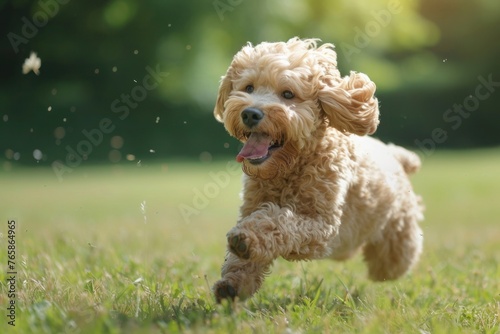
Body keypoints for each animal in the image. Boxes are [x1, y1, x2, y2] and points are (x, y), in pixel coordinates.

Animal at [210, 37, 422, 302]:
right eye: (249, 88)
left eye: (288, 94)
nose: (250, 113)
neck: (291, 168)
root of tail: (396, 155)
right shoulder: (252, 206)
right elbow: (242, 259)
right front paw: (233, 284)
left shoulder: (322, 225)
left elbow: (279, 222)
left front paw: (248, 238)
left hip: (397, 234)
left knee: (396, 259)